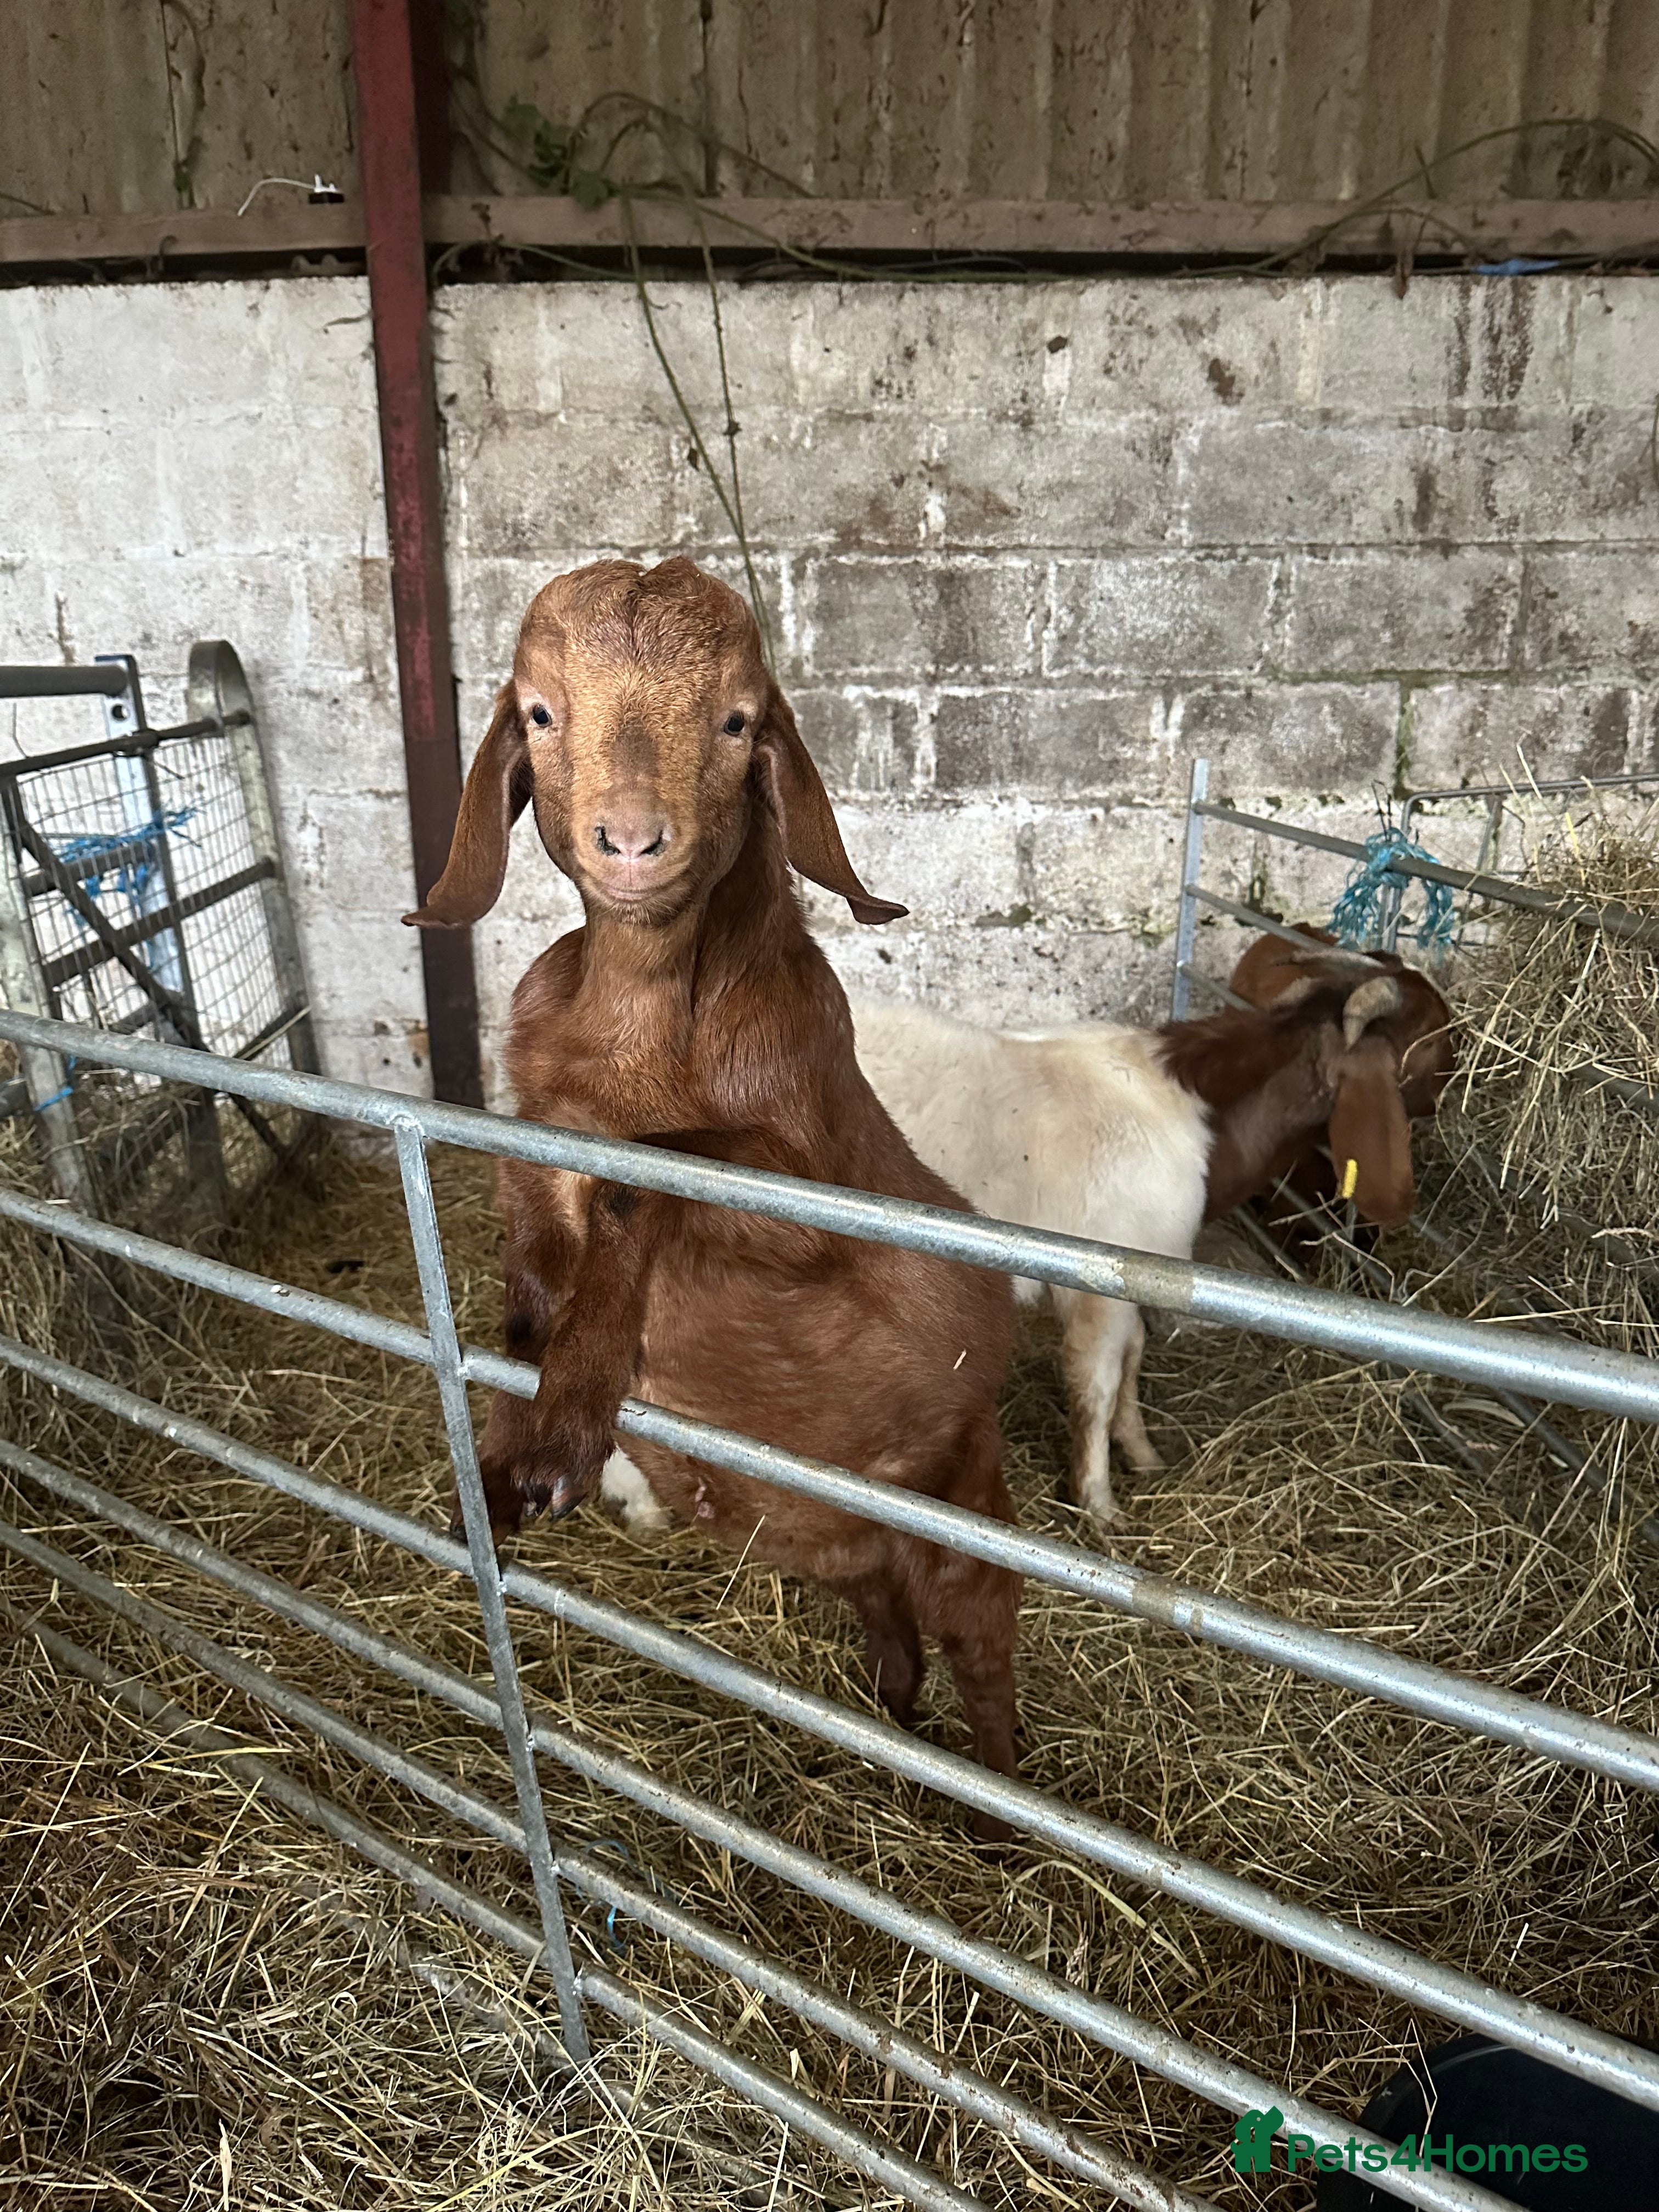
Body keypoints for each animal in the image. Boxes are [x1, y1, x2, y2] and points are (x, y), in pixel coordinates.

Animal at [404, 558, 1022, 1837]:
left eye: (739, 722)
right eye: (539, 711)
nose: (633, 842)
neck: (635, 1030)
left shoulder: (800, 1193)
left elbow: (647, 1182)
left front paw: (565, 1436)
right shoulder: (526, 1123)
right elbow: (524, 1257)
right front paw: (503, 1451)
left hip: (966, 1509)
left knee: (984, 1659)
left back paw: (995, 1820)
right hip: (853, 1553)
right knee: (891, 1623)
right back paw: (890, 1714)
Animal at [852, 957, 1442, 1526]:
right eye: (1428, 1038)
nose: (1440, 1104)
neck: (1194, 1108)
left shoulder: (1140, 1270)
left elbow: (1134, 1356)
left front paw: (1141, 1453)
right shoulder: (1097, 1278)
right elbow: (1097, 1384)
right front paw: (1098, 1502)